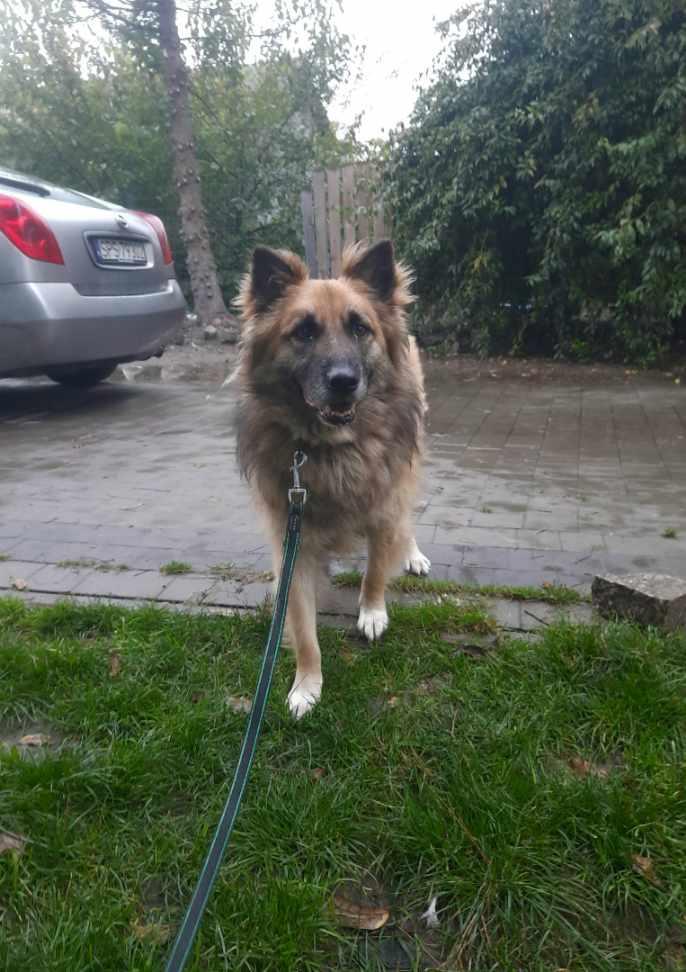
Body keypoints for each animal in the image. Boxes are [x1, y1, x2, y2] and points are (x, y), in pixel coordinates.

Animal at [234, 240, 430, 717]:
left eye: (360, 327)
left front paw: (372, 612)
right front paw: (307, 685)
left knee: (408, 519)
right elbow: (304, 629)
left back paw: (413, 554)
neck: (331, 448)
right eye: (303, 332)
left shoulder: (384, 506)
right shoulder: (293, 540)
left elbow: (376, 568)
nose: (343, 382)